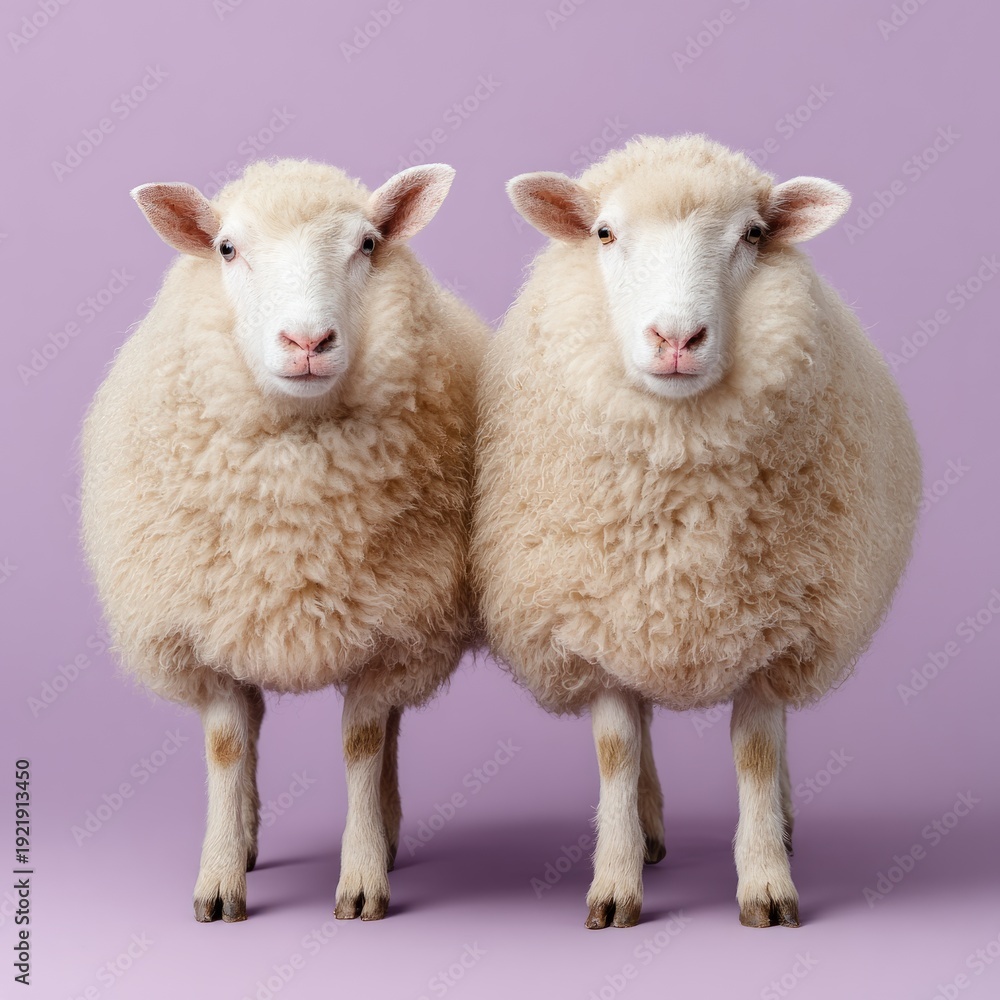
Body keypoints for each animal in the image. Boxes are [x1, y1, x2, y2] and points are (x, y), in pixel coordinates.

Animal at [81, 158, 486, 923]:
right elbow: (226, 746)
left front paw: (362, 877)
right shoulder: (203, 632)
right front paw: (218, 881)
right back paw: (244, 838)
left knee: (389, 729)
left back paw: (386, 832)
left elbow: (364, 742)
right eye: (227, 249)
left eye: (366, 244)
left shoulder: (391, 632)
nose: (306, 344)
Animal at [471, 134, 921, 929]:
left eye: (753, 235)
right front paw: (615, 883)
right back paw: (649, 827)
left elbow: (758, 755)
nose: (676, 338)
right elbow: (617, 750)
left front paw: (767, 882)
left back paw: (784, 823)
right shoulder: (596, 621)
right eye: (604, 233)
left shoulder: (777, 629)